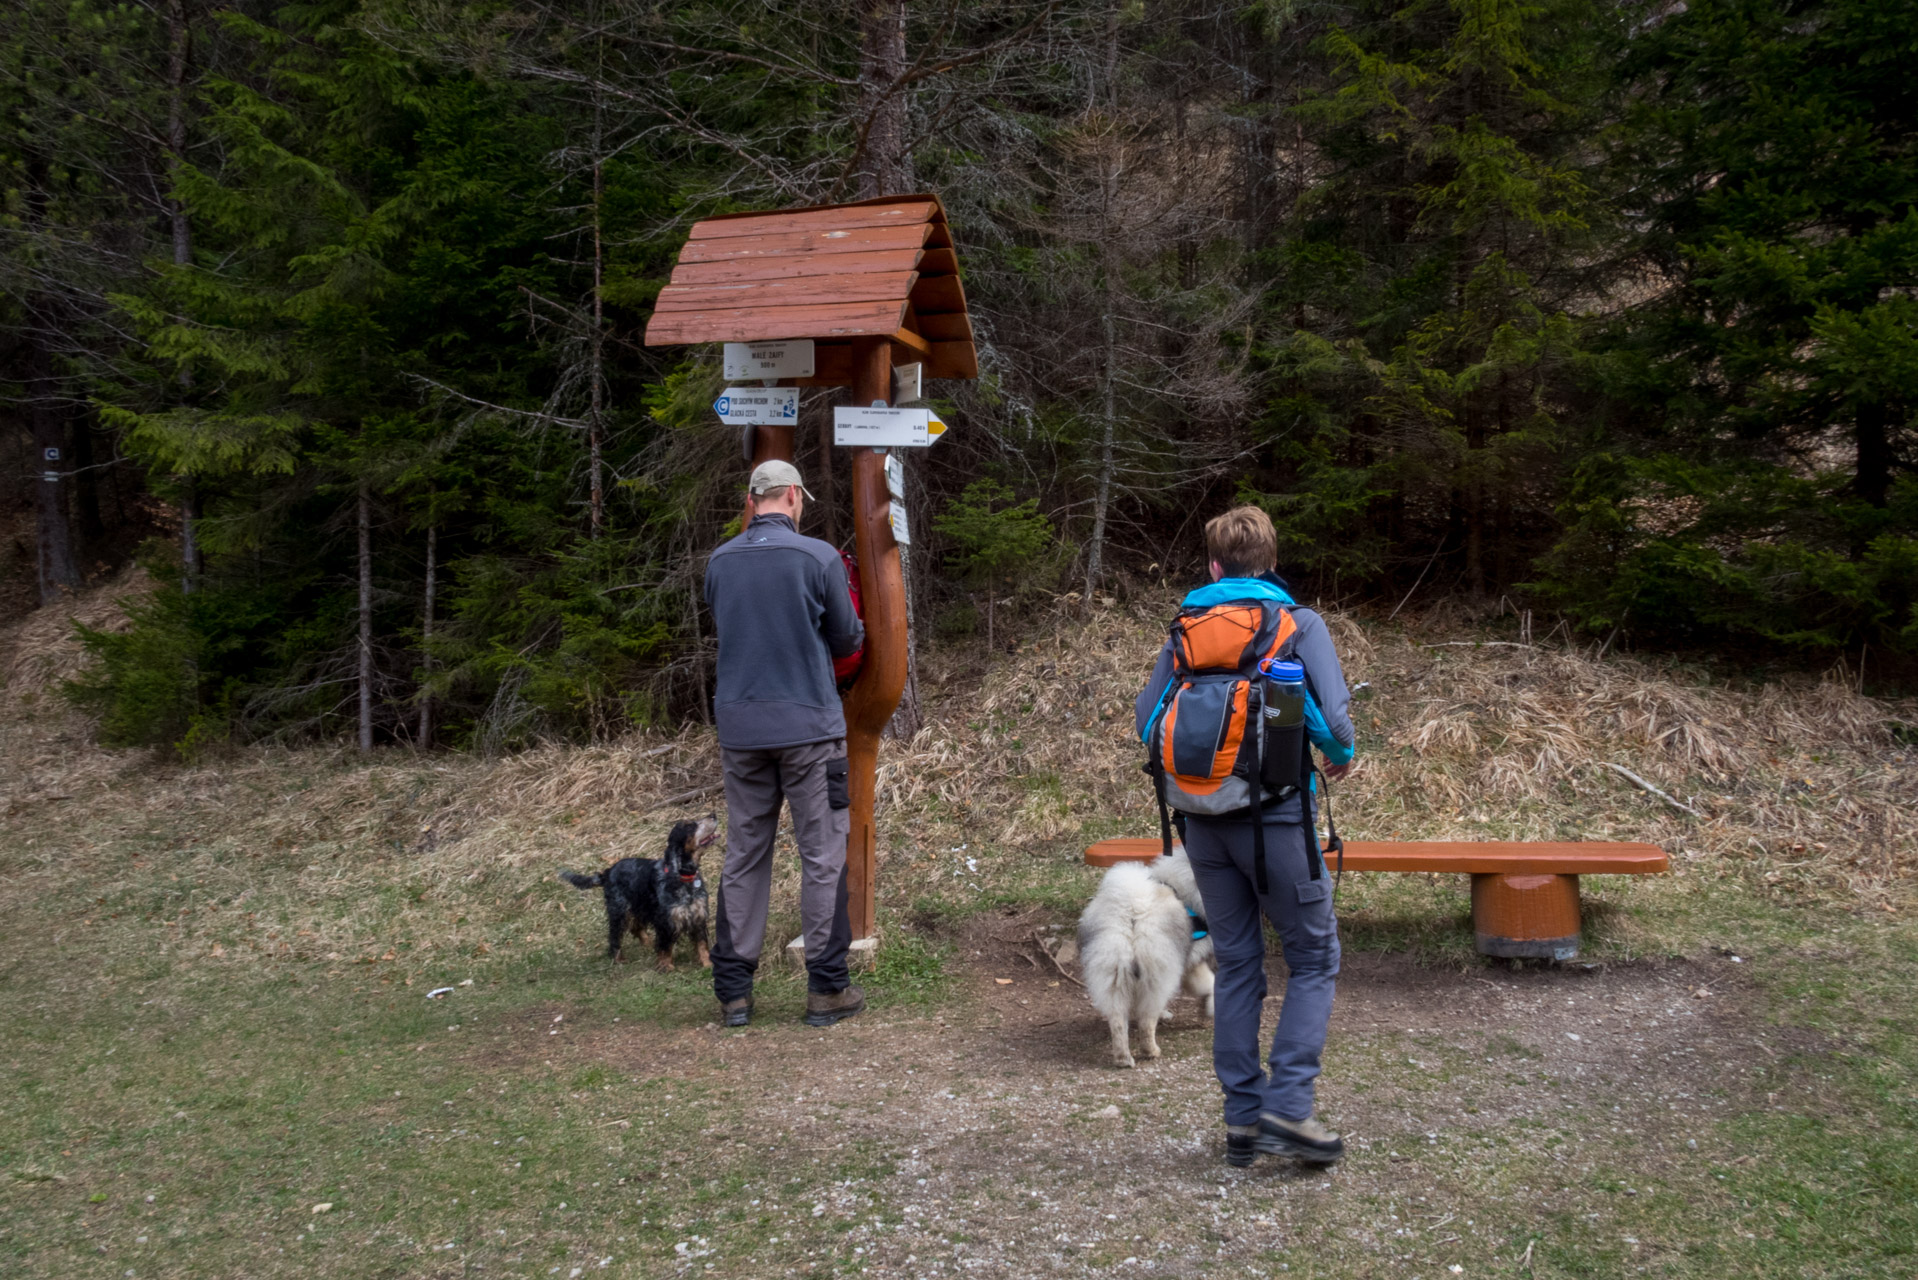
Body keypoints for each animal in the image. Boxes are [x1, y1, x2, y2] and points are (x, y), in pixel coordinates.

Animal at [567, 817, 725, 967]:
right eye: (690, 826)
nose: (713, 815)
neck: (685, 877)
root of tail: (607, 872)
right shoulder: (665, 920)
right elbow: (665, 946)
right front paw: (666, 966)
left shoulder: (698, 916)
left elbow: (702, 944)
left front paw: (707, 964)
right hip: (620, 910)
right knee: (615, 935)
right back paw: (618, 959)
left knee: (636, 928)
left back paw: (648, 944)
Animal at [1081, 840, 1212, 1074]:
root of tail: (1132, 913)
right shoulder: (1192, 962)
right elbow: (1210, 985)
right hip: (1158, 974)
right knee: (1146, 1020)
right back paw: (1151, 1051)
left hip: (1113, 971)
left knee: (1117, 1020)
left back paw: (1123, 1058)